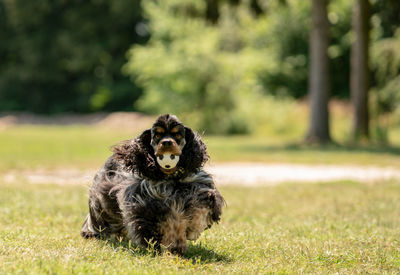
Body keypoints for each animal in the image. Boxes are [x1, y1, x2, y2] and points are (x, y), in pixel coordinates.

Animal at [81, 113, 225, 254]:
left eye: (177, 134)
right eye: (157, 135)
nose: (166, 142)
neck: (170, 177)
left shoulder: (198, 191)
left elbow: (196, 211)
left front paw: (183, 239)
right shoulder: (143, 203)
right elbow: (155, 225)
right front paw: (159, 244)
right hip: (100, 204)